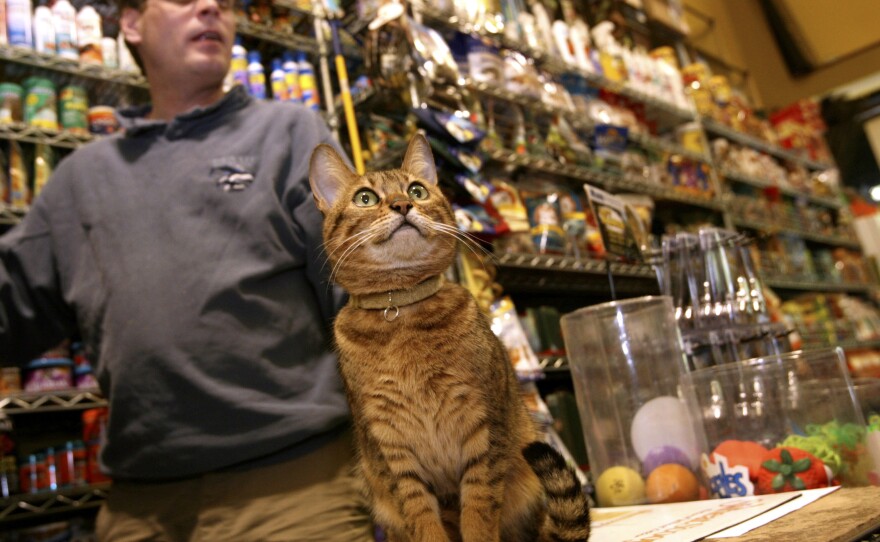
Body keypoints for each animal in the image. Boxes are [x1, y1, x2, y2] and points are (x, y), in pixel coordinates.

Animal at [310, 135, 592, 542]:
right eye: (365, 198)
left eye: (417, 190)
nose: (403, 204)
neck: (401, 313)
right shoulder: (391, 447)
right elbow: (422, 519)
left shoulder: (482, 428)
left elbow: (479, 512)